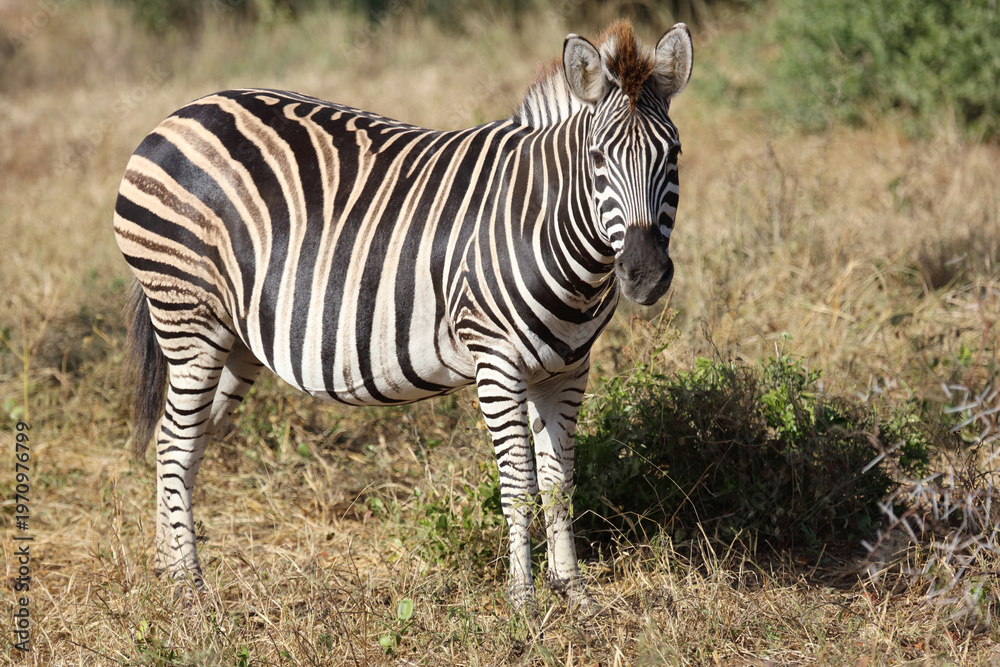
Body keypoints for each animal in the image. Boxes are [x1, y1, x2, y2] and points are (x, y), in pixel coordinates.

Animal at [114, 19, 692, 610]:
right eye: (597, 159)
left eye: (673, 154)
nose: (645, 275)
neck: (547, 226)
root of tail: (182, 114)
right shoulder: (497, 361)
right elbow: (518, 484)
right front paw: (524, 602)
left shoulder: (568, 369)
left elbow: (559, 483)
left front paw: (574, 594)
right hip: (189, 316)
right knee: (175, 442)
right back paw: (189, 588)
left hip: (234, 339)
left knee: (181, 438)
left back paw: (166, 570)